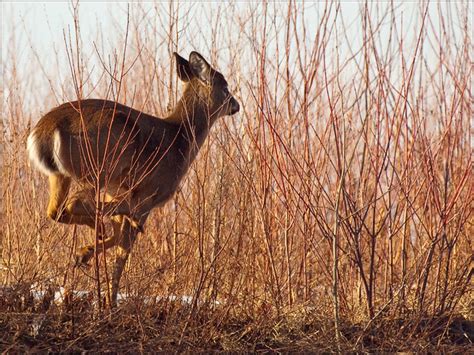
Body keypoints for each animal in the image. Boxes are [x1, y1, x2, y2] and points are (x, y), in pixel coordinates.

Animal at [26, 51, 241, 308]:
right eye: (225, 86)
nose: (236, 105)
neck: (181, 140)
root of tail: (43, 132)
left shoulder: (119, 192)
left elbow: (120, 237)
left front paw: (96, 275)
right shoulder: (148, 194)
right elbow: (124, 247)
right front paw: (109, 298)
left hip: (62, 175)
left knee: (56, 210)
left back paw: (92, 237)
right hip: (103, 163)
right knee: (76, 203)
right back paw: (96, 232)